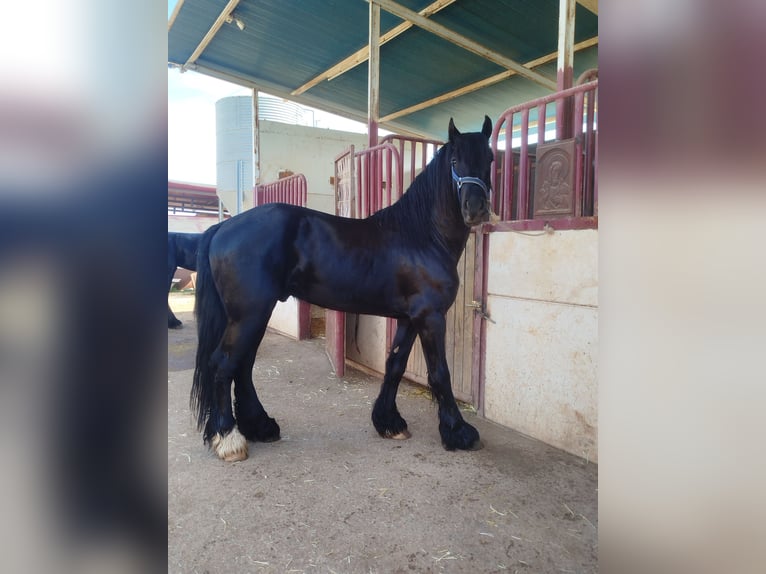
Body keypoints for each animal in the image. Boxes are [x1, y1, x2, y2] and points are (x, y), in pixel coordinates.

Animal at [192, 116, 494, 461]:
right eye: (455, 161)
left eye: (490, 159)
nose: (476, 208)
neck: (422, 236)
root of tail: (223, 227)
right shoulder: (430, 317)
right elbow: (440, 372)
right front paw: (459, 432)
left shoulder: (409, 318)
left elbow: (395, 364)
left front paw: (389, 422)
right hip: (249, 315)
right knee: (223, 364)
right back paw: (229, 439)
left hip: (254, 315)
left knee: (242, 366)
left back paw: (260, 427)